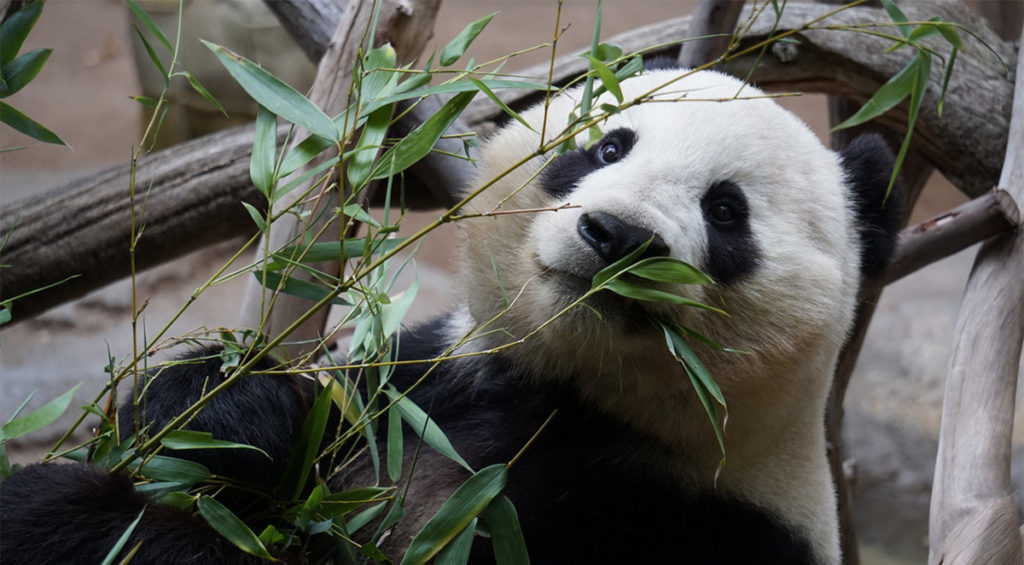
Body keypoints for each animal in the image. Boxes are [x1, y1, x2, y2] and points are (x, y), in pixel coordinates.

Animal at [0, 67, 897, 565]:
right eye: (609, 145)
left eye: (726, 210)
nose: (616, 235)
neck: (577, 398)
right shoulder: (425, 384)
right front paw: (225, 411)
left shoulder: (688, 520)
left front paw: (75, 519)